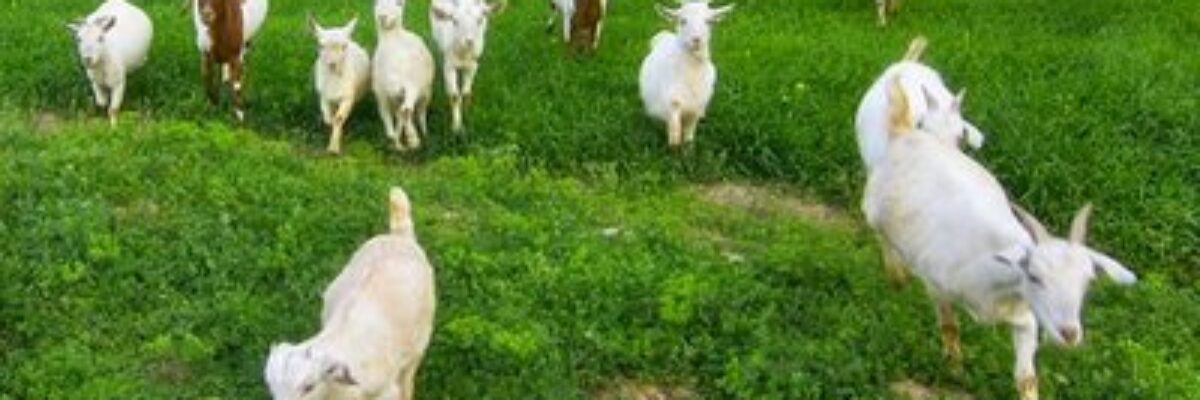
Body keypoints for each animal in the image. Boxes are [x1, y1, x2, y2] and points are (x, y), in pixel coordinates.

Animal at [309, 15, 371, 155]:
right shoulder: (324, 96)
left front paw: (334, 148)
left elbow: (339, 118)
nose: (332, 64)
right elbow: (328, 118)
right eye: (321, 45)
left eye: (344, 46)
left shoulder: (348, 97)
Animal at [373, 1, 435, 151]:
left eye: (399, 3)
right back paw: (409, 139)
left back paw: (402, 139)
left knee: (401, 113)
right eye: (377, 2)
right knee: (405, 111)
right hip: (408, 91)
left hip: (389, 92)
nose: (382, 16)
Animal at [430, 0, 504, 133]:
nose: (469, 42)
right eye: (454, 21)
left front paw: (468, 116)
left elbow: (466, 93)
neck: (463, 54)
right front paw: (457, 126)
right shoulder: (449, 65)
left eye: (480, 20)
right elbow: (454, 96)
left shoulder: (473, 65)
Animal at [638, 1, 734, 148]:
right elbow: (674, 135)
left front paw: (689, 150)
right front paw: (674, 151)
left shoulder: (697, 106)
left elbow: (689, 135)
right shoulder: (672, 104)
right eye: (683, 21)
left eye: (709, 21)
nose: (696, 39)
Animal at [862, 77, 1137, 400]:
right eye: (1034, 276)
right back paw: (897, 278)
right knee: (884, 239)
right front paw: (955, 370)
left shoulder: (1026, 319)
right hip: (875, 212)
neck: (994, 278)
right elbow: (949, 327)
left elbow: (1026, 378)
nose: (1069, 334)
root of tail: (904, 131)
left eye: (1088, 281)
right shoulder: (937, 285)